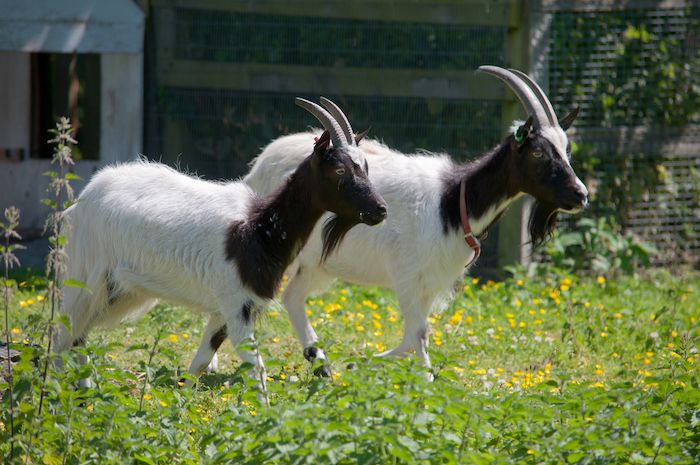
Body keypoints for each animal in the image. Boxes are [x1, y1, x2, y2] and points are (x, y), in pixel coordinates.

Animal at [53, 98, 388, 396]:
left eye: (365, 167)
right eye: (340, 170)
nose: (380, 210)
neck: (258, 229)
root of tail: (82, 200)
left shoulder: (224, 310)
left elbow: (201, 361)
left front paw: (181, 404)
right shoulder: (237, 305)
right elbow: (256, 367)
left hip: (121, 290)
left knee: (77, 334)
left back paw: (84, 391)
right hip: (84, 277)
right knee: (63, 333)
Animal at [201, 66, 589, 378]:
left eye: (567, 149)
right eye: (539, 153)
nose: (581, 194)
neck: (451, 202)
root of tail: (260, 165)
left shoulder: (430, 284)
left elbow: (413, 336)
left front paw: (360, 364)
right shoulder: (407, 275)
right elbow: (418, 335)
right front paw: (425, 384)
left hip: (319, 263)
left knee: (294, 296)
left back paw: (320, 361)